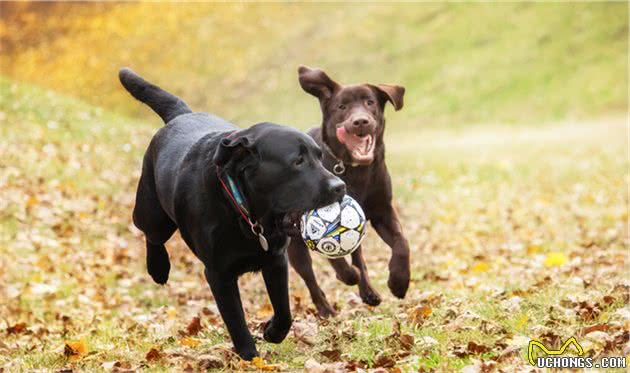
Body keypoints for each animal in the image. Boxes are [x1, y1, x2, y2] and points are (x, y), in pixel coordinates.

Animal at [118, 67, 346, 358]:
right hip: (152, 212)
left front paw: (272, 331)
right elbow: (236, 320)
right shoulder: (219, 274)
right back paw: (158, 268)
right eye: (297, 161)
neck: (245, 211)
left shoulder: (275, 259)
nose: (340, 187)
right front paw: (250, 357)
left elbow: (284, 310)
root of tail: (181, 115)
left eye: (319, 156)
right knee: (150, 234)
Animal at [288, 65, 412, 316]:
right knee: (310, 279)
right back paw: (326, 309)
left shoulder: (382, 211)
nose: (360, 121)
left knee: (358, 256)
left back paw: (369, 292)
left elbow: (402, 243)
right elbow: (333, 257)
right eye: (342, 107)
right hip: (293, 245)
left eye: (369, 102)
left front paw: (399, 281)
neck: (355, 170)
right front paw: (346, 275)